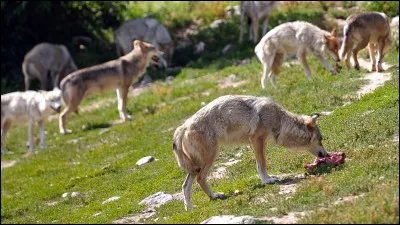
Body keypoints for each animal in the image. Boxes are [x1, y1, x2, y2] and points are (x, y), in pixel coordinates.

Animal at [173, 95, 328, 211]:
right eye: (321, 140)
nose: (326, 155)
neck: (279, 119)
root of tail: (183, 126)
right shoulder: (257, 140)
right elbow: (262, 164)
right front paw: (267, 180)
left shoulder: (259, 143)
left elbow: (261, 164)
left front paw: (268, 178)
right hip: (211, 157)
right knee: (200, 179)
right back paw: (214, 196)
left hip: (196, 166)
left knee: (185, 186)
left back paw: (190, 207)